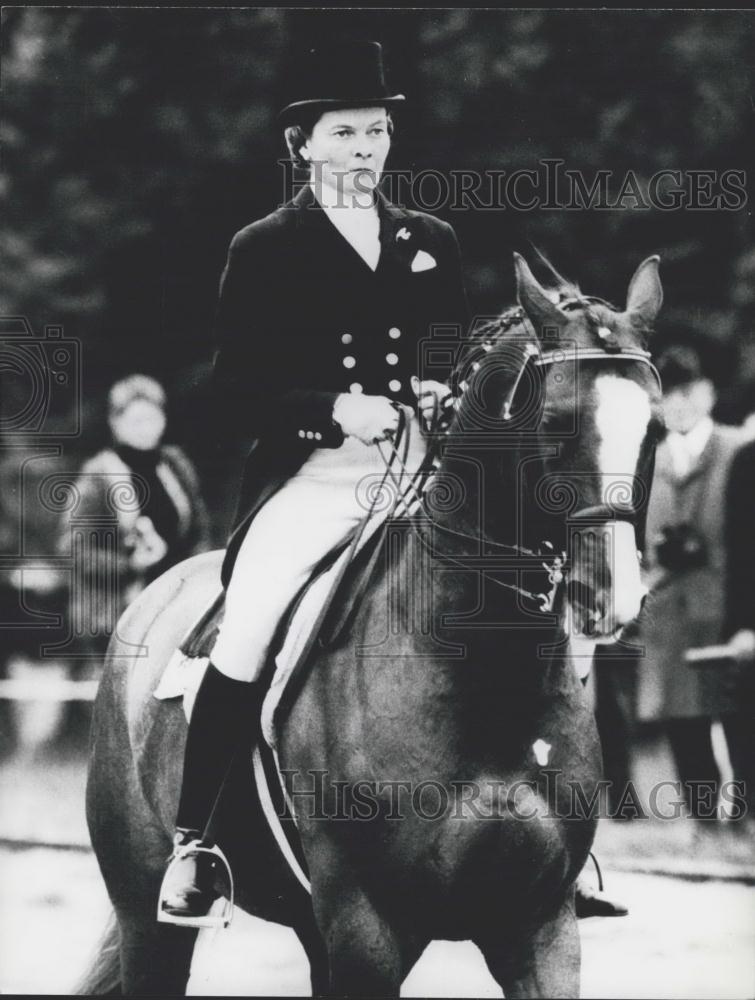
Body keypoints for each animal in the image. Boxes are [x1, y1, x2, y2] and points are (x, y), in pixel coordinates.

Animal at [81, 254, 660, 996]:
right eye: (556, 421)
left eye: (654, 429)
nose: (609, 594)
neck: (484, 679)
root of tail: (155, 592)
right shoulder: (368, 928)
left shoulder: (539, 925)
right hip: (147, 919)